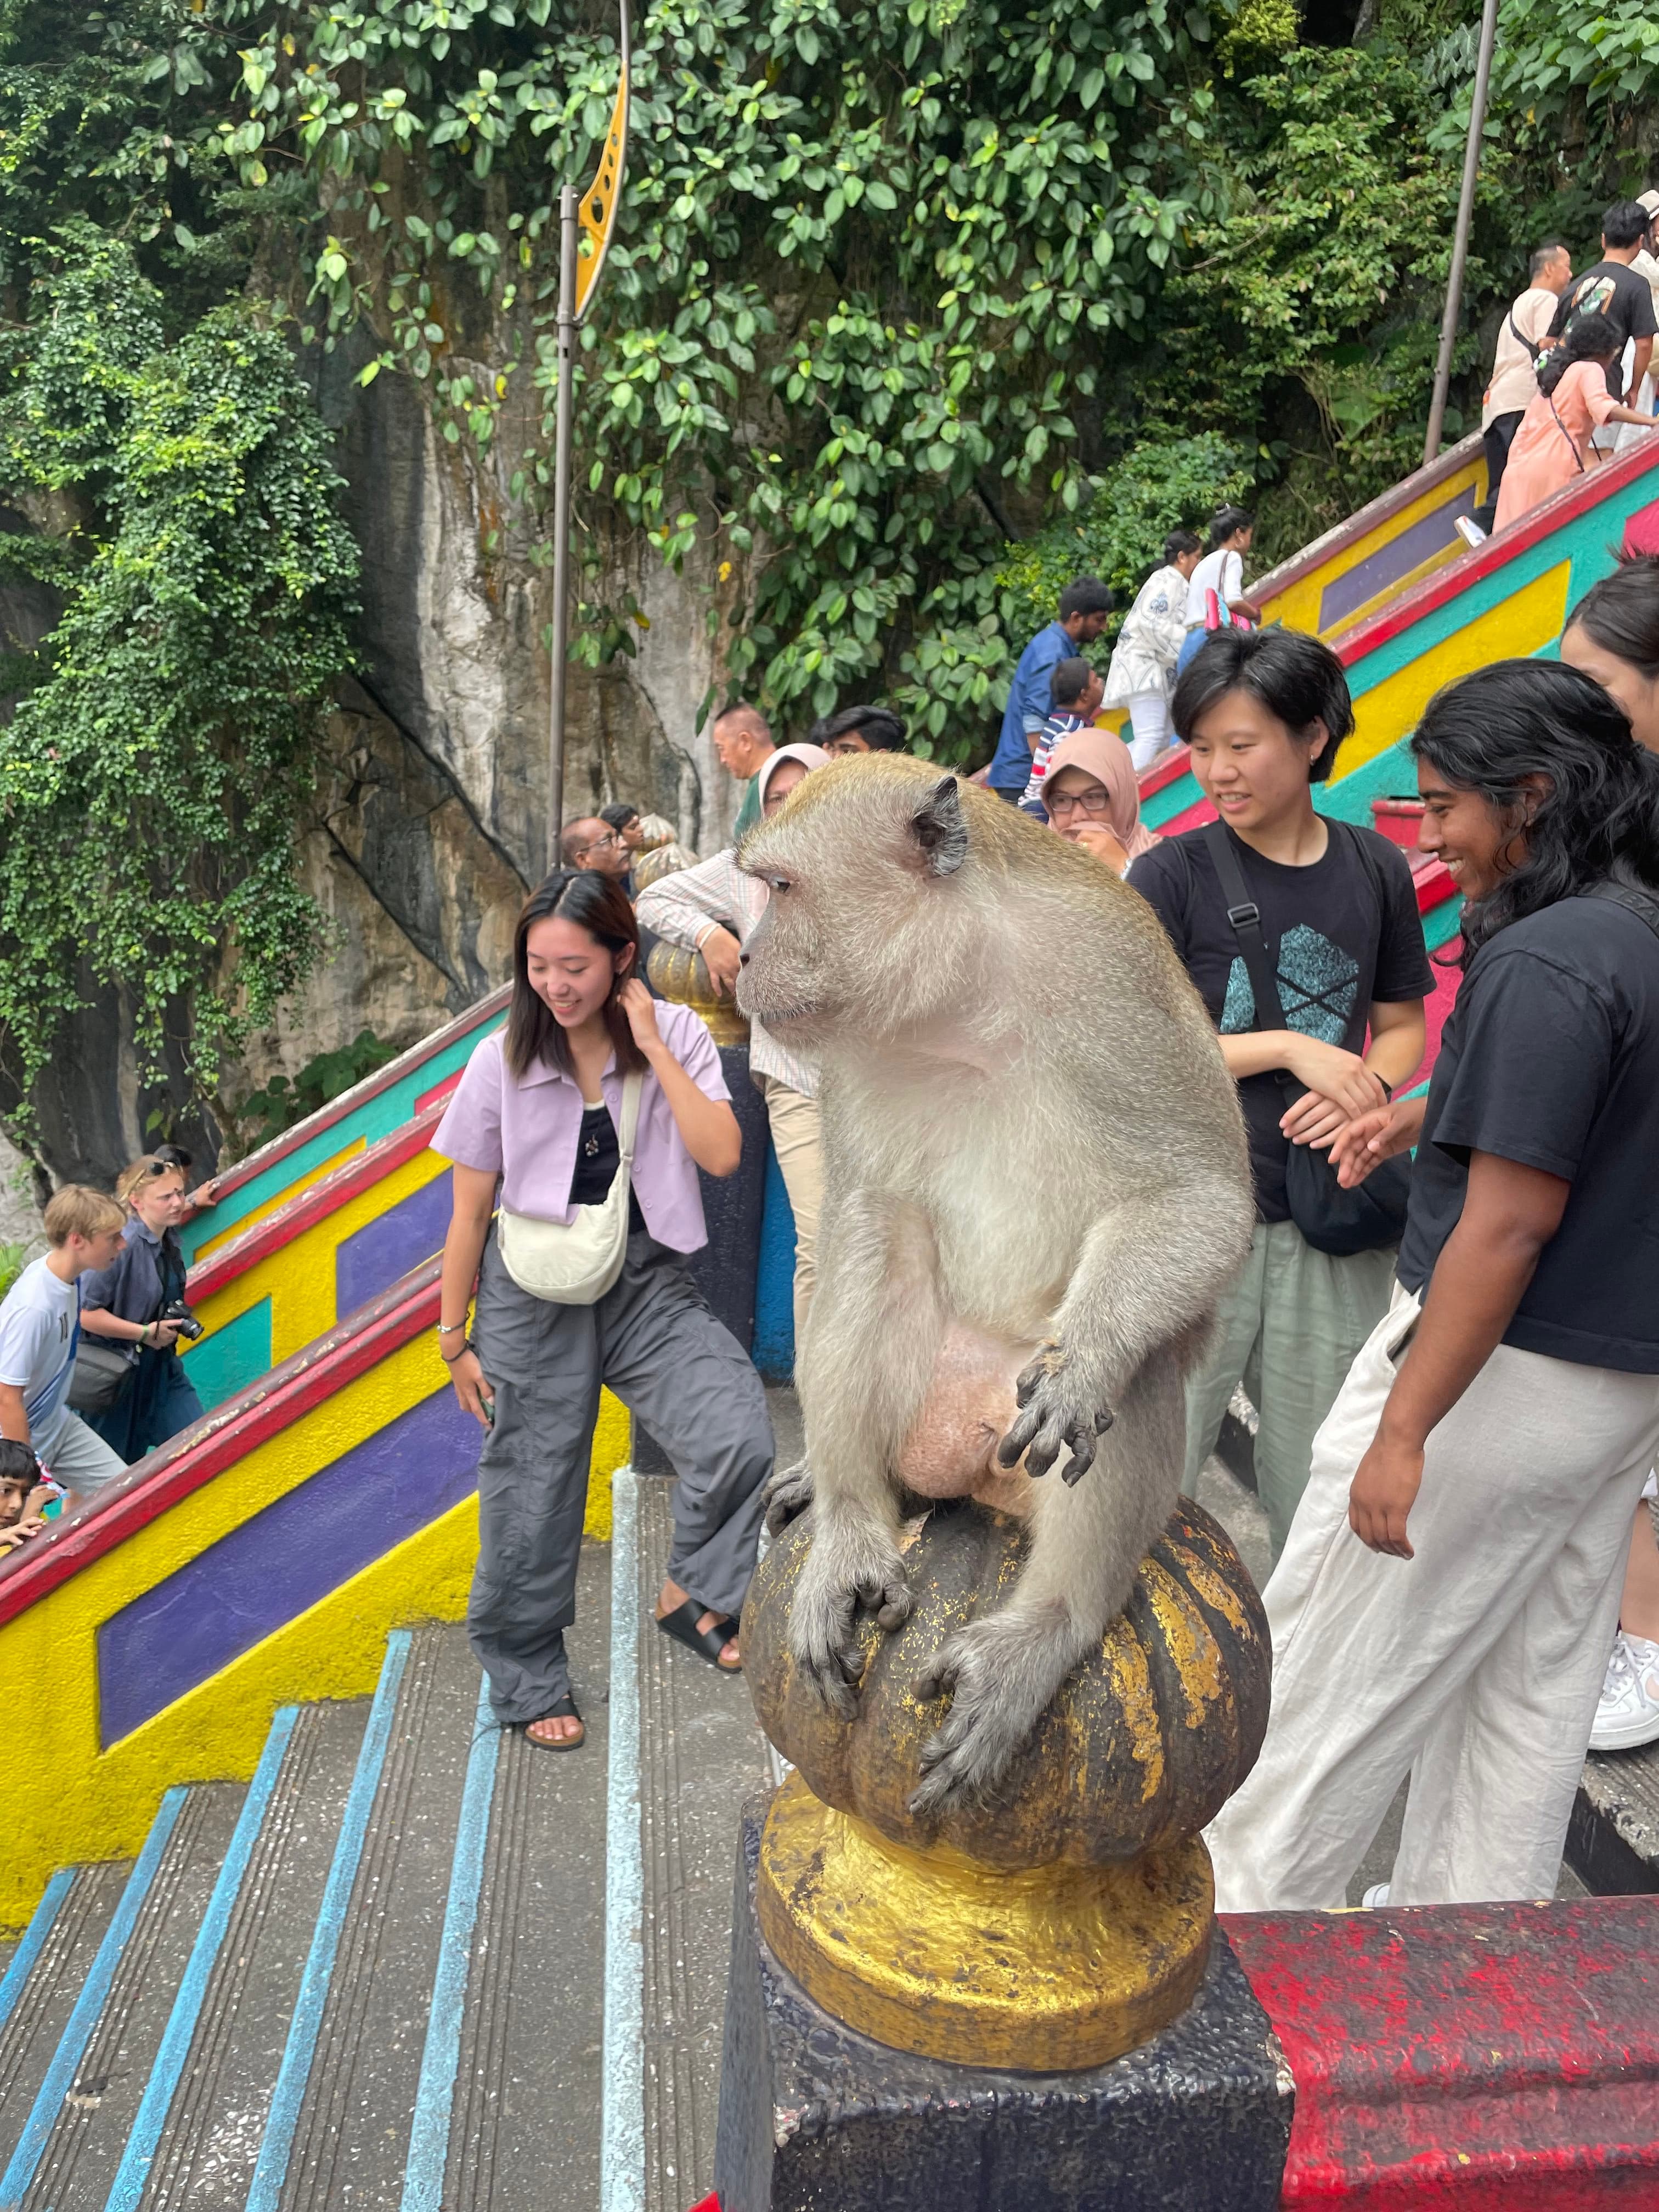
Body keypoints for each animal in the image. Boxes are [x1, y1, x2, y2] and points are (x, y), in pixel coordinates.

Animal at [734, 761, 1256, 1814]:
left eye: (780, 889)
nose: (742, 958)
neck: (961, 1001)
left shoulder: (1111, 982)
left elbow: (1202, 1199)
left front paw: (1084, 1361)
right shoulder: (851, 1053)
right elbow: (854, 1210)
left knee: (1129, 1380)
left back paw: (1047, 1625)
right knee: (877, 1234)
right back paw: (850, 1525)